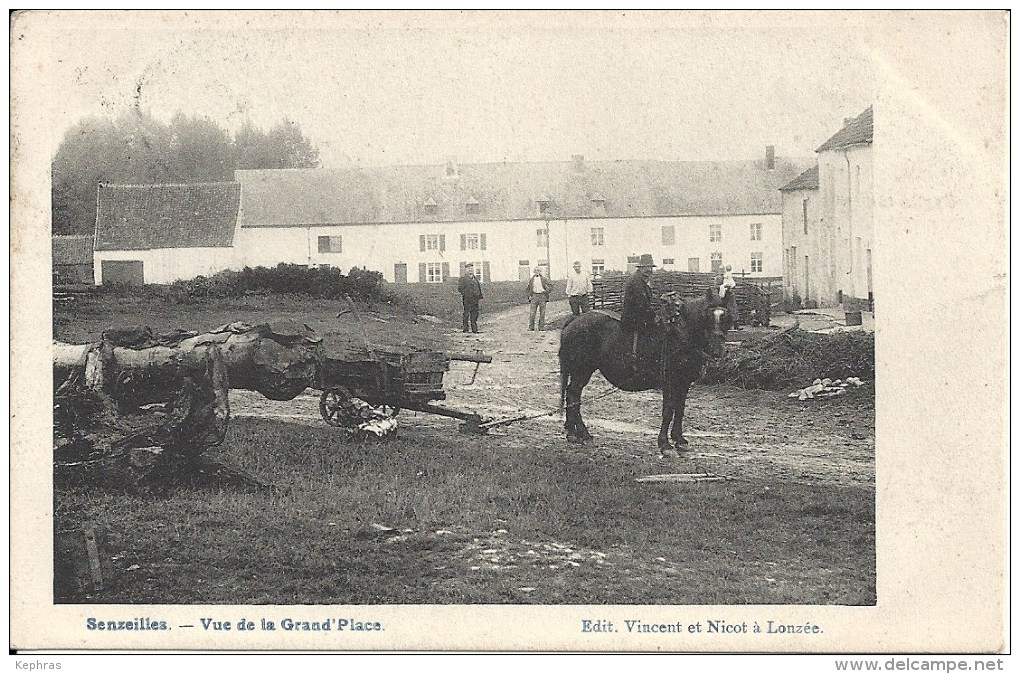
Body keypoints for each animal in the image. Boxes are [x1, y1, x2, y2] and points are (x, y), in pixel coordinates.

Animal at [558, 287, 734, 454]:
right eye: (707, 316)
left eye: (726, 318)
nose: (718, 350)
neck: (681, 335)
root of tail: (575, 320)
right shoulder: (669, 382)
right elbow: (668, 410)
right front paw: (665, 444)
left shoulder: (683, 383)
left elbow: (680, 409)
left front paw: (679, 439)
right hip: (582, 370)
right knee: (573, 395)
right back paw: (583, 434)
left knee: (572, 394)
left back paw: (573, 432)